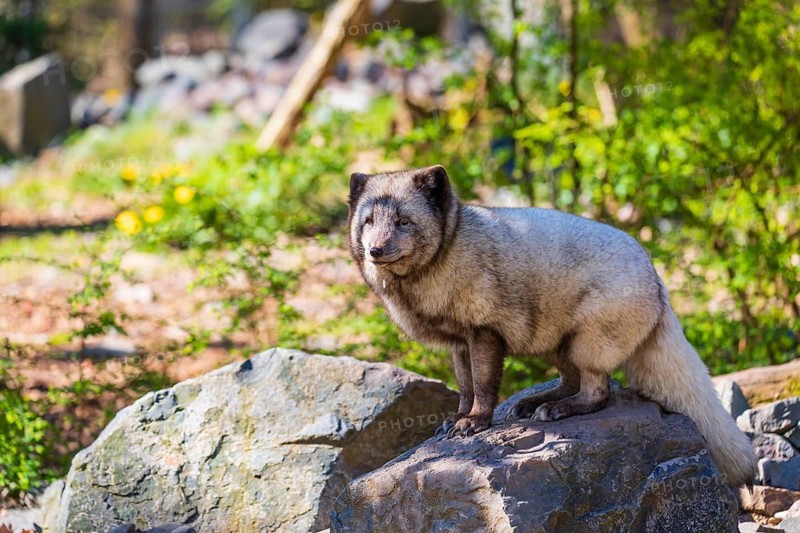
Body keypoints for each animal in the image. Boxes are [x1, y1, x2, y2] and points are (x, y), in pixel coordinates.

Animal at [347, 164, 757, 487]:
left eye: (404, 221)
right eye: (369, 222)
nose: (375, 251)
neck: (444, 254)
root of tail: (659, 282)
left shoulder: (484, 333)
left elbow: (483, 385)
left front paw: (475, 422)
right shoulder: (459, 344)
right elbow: (464, 387)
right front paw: (457, 419)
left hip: (587, 341)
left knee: (598, 391)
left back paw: (559, 410)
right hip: (553, 340)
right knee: (570, 380)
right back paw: (536, 402)